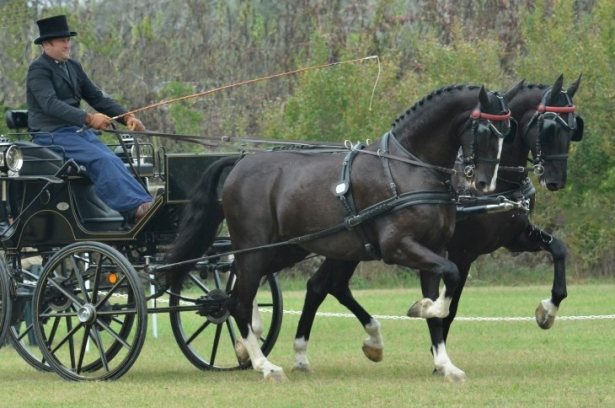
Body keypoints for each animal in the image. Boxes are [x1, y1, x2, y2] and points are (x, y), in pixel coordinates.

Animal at [166, 81, 524, 380]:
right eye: (486, 130)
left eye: (508, 131)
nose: (485, 184)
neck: (409, 167)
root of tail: (239, 163)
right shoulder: (399, 247)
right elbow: (448, 282)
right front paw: (419, 309)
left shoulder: (433, 250)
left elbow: (440, 303)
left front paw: (444, 363)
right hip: (256, 248)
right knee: (240, 300)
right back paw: (264, 365)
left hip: (285, 248)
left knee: (241, 292)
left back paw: (252, 341)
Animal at [292, 73, 584, 382]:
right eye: (550, 128)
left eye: (574, 128)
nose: (556, 180)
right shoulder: (461, 254)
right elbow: (449, 307)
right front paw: (437, 357)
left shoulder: (514, 237)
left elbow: (558, 249)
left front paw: (548, 311)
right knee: (324, 286)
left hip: (349, 248)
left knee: (324, 286)